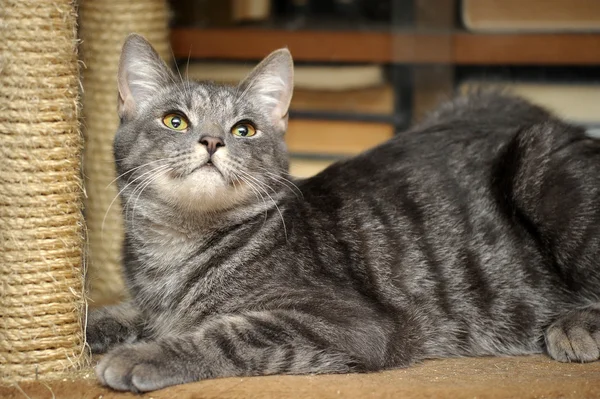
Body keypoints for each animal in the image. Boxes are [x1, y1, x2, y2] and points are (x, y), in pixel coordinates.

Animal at [86, 32, 600, 394]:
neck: (175, 248)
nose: (212, 141)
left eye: (244, 129)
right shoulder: (149, 304)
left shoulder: (348, 322)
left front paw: (142, 355)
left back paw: (575, 325)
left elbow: (227, 333)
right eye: (175, 120)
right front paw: (88, 327)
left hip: (543, 168)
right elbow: (118, 312)